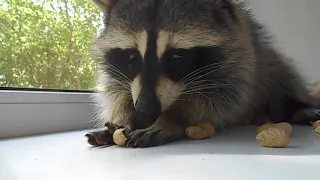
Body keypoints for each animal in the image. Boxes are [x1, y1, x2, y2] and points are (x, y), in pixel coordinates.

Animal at [87, 0, 320, 148]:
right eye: (132, 56)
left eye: (176, 56)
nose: (146, 109)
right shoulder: (120, 75)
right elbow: (118, 93)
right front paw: (126, 120)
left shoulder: (240, 61)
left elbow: (218, 100)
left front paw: (171, 119)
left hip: (266, 60)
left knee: (281, 74)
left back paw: (295, 108)